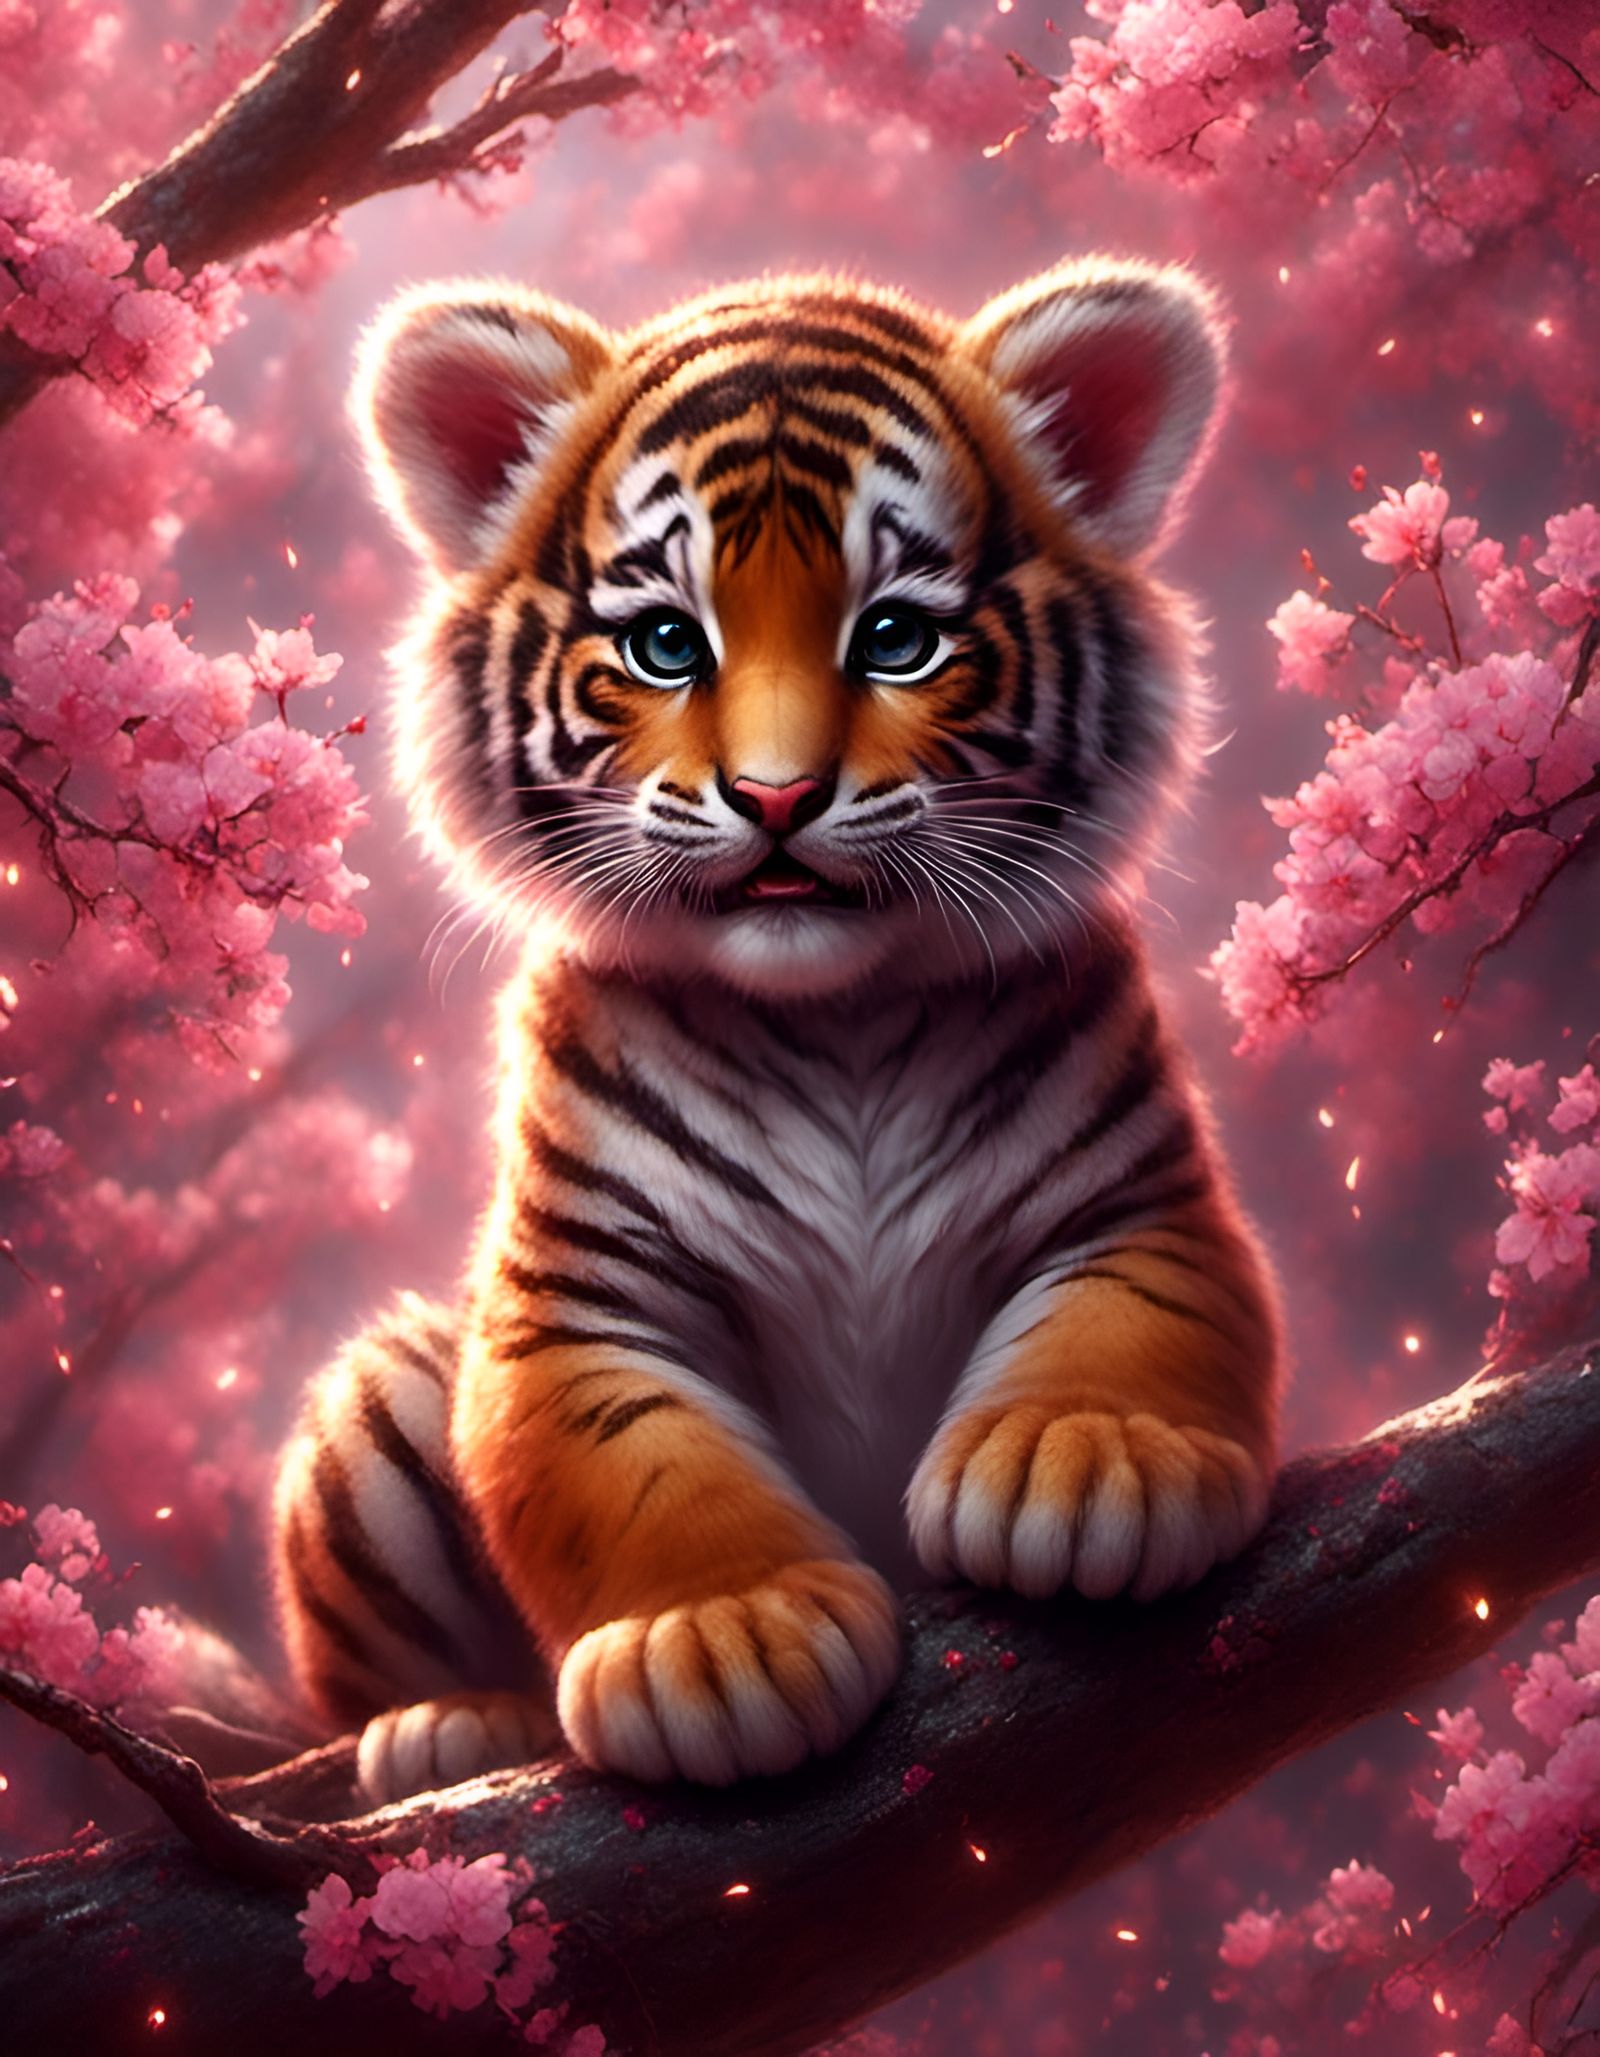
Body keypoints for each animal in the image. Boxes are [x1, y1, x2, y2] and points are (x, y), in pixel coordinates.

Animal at [271, 258, 1284, 1803]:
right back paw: (448, 1731)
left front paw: (1090, 1460)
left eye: (896, 637)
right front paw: (723, 1637)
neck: (838, 1023)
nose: (777, 796)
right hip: (375, 1403)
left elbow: (1136, 1318)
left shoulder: (1144, 1200)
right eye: (664, 643)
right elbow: (626, 1459)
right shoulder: (577, 1297)